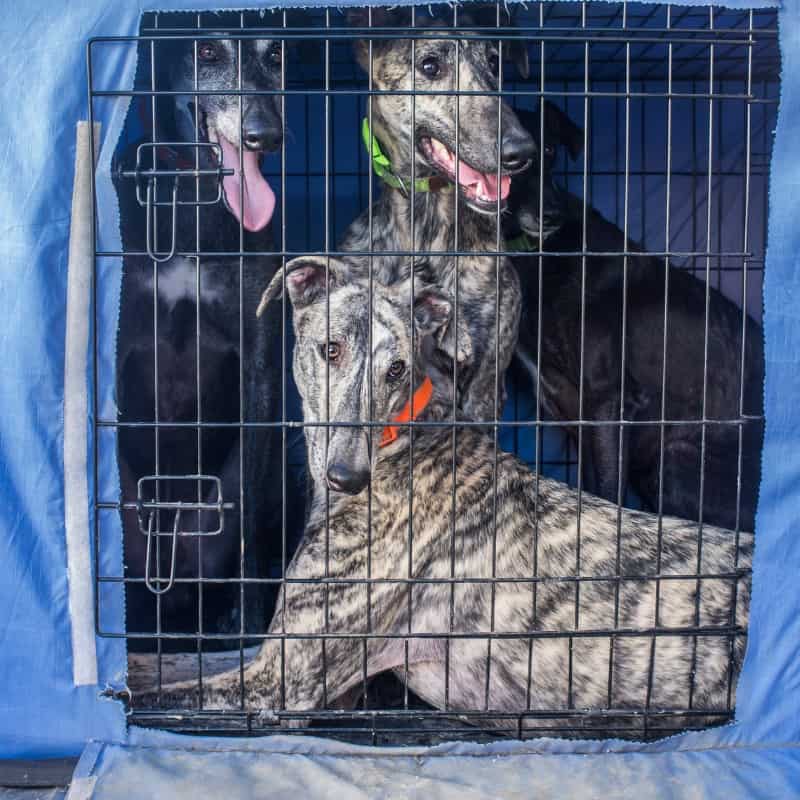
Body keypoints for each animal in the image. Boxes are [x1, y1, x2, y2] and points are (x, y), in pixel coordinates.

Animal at [114, 29, 298, 648]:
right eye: (207, 51)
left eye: (276, 55)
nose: (267, 133)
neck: (193, 195)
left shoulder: (259, 369)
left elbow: (245, 513)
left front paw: (247, 622)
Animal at [131, 258, 752, 736]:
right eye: (330, 349)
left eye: (397, 369)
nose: (347, 477)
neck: (401, 441)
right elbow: (165, 661)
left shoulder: (284, 680)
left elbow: (154, 698)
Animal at [506, 104, 764, 532]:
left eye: (549, 151)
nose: (553, 213)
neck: (541, 253)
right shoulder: (578, 416)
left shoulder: (610, 399)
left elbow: (609, 497)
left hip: (674, 463)